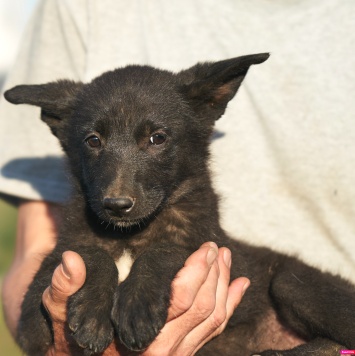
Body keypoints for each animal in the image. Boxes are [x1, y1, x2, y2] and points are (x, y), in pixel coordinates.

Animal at [4, 53, 355, 356]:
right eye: (93, 140)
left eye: (157, 138)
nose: (116, 205)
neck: (130, 236)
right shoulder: (33, 320)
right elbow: (90, 252)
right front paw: (93, 312)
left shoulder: (215, 248)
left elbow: (169, 249)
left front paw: (136, 305)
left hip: (289, 282)